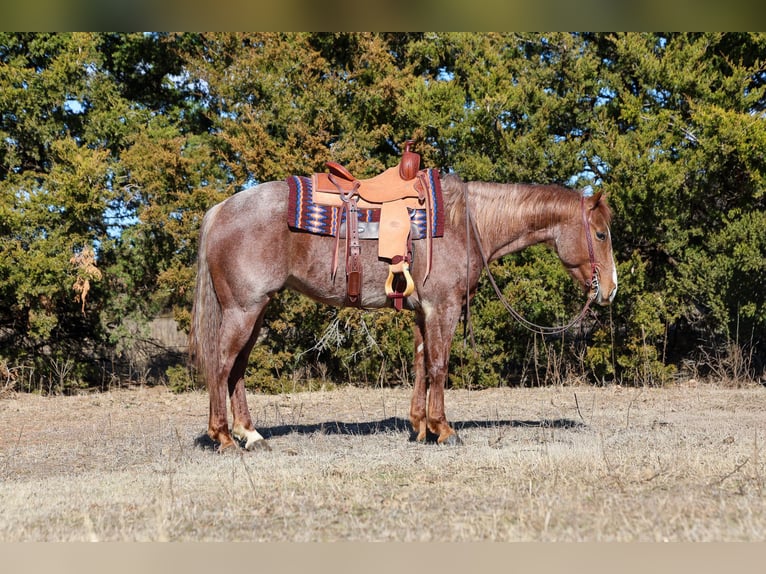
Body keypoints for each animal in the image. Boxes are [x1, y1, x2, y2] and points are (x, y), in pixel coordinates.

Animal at [189, 173, 617, 451]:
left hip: (255, 310)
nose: (610, 289)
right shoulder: (443, 306)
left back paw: (251, 435)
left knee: (237, 369)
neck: (467, 222)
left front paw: (421, 428)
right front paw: (444, 430)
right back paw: (224, 437)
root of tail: (221, 209)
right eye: (600, 233)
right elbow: (439, 366)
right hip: (243, 309)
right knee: (221, 365)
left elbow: (421, 365)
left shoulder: (422, 311)